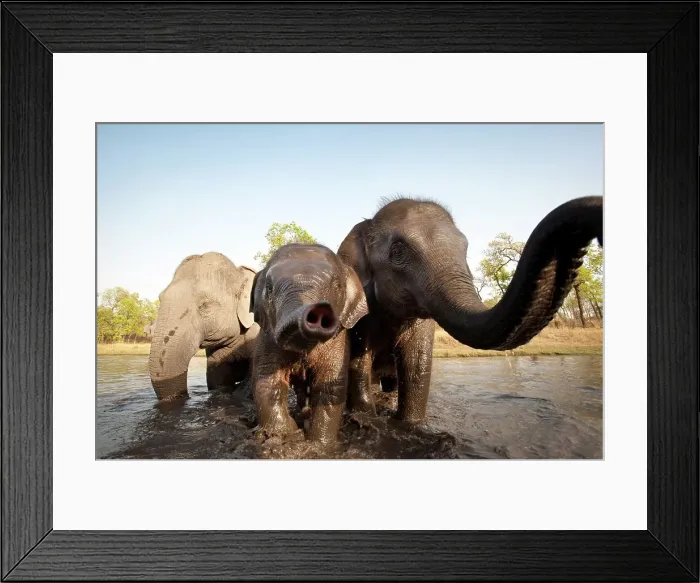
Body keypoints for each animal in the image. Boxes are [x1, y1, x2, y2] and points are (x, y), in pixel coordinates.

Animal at [249, 243, 368, 444]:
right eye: (269, 288)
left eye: (337, 285)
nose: (318, 310)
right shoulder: (268, 336)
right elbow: (269, 380)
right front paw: (283, 435)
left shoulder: (339, 340)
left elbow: (330, 385)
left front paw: (319, 444)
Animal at [337, 195, 603, 423]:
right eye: (397, 251)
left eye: (464, 248)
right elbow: (359, 364)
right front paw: (366, 419)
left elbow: (417, 367)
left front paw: (408, 423)